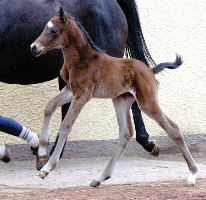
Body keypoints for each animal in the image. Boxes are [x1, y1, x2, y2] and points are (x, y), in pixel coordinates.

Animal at [30, 7, 198, 186]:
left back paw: (193, 174)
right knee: (126, 134)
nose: (34, 47)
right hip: (121, 100)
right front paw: (41, 152)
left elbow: (65, 126)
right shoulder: (71, 90)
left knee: (173, 130)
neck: (82, 59)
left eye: (54, 30)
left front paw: (47, 168)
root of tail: (150, 70)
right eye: (45, 27)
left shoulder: (83, 95)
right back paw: (100, 178)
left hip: (147, 102)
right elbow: (49, 106)